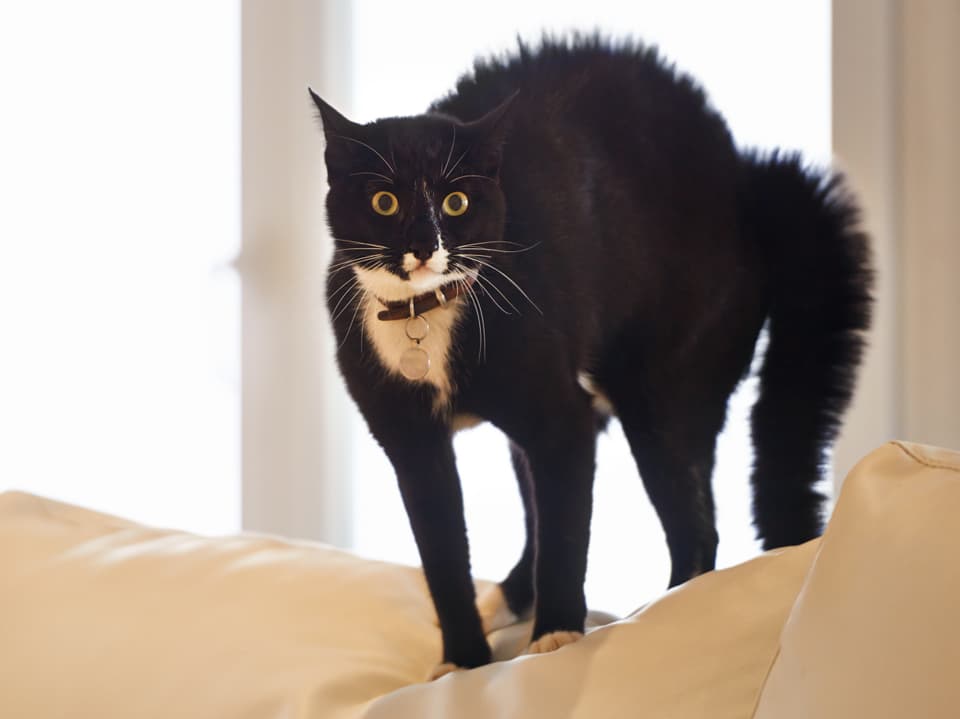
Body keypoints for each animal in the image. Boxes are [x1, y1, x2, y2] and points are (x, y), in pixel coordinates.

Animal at [312, 35, 872, 676]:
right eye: (383, 201)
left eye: (456, 201)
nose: (424, 245)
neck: (423, 317)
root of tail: (744, 174)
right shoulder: (410, 442)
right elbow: (442, 552)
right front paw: (463, 662)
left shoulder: (561, 420)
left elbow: (567, 526)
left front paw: (555, 636)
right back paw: (507, 598)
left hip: (663, 384)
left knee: (693, 525)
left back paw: (669, 611)